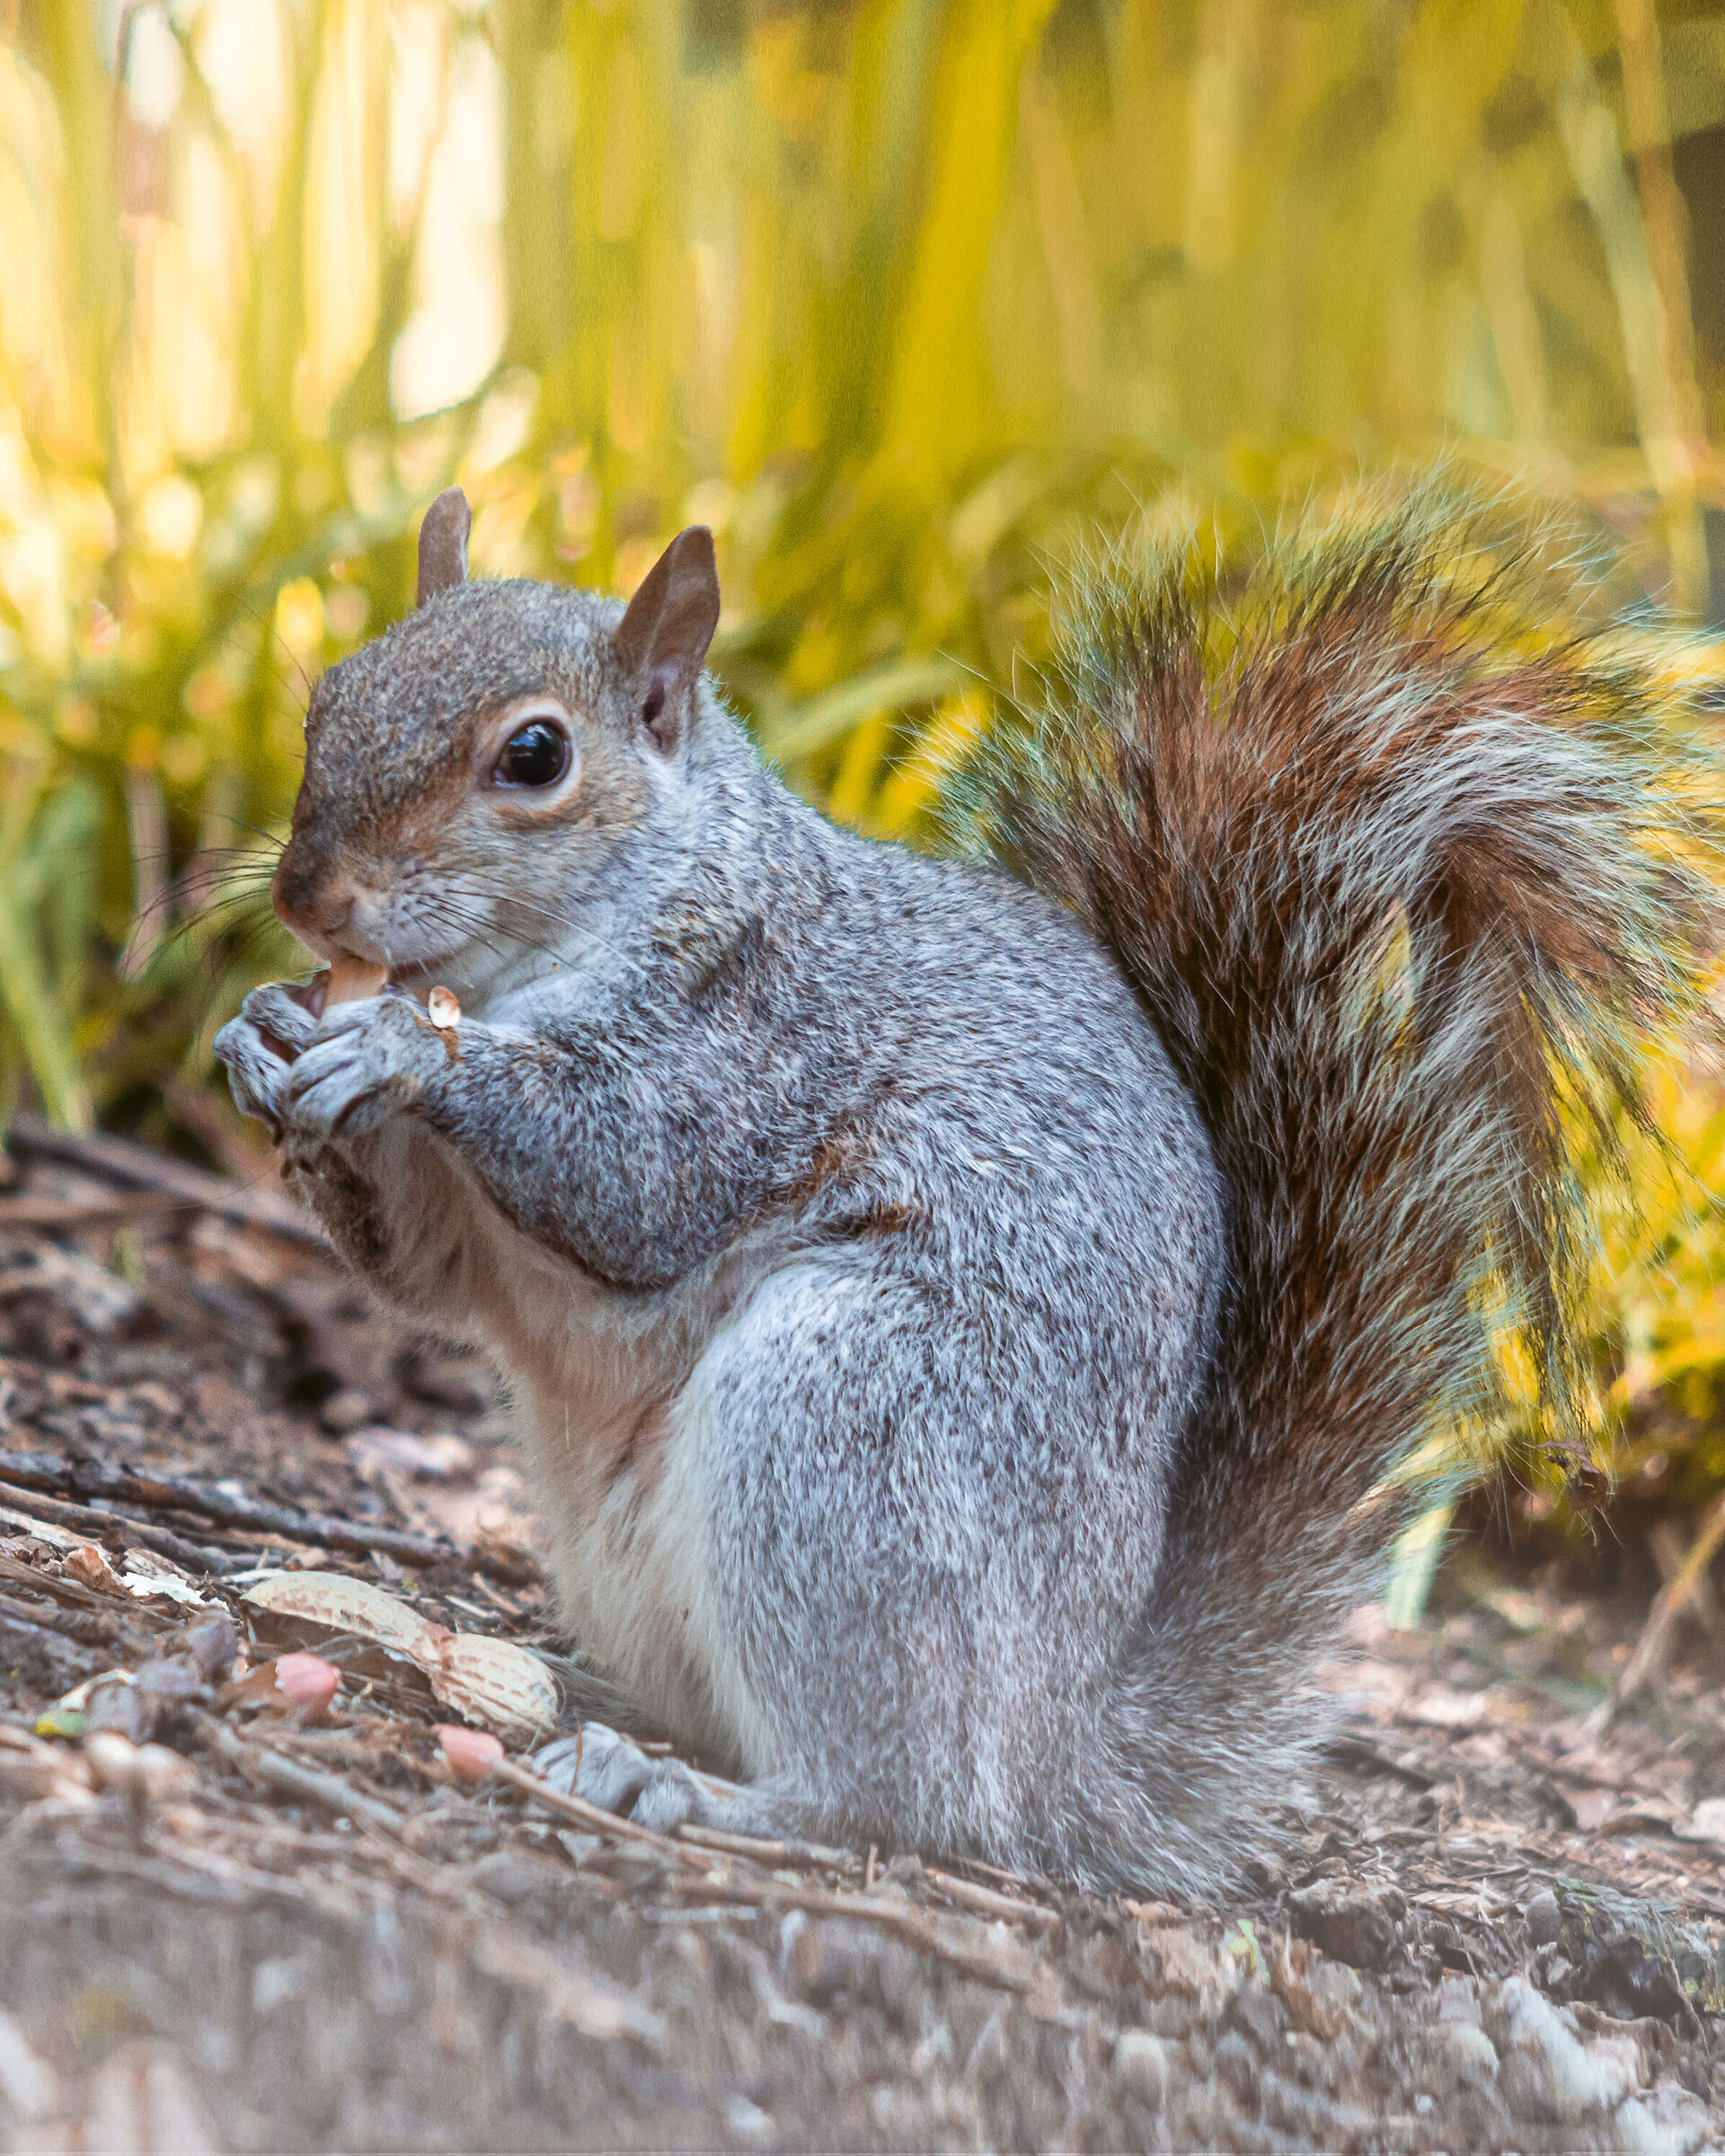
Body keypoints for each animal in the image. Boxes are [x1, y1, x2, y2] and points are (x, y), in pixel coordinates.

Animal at [214, 480, 1707, 1894]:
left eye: (534, 755)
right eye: (332, 689)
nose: (308, 896)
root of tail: (1062, 1742)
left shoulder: (761, 1049)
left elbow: (636, 1176)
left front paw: (404, 1049)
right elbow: (430, 1278)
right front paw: (263, 1036)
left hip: (848, 1431)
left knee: (900, 1794)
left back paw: (702, 1792)